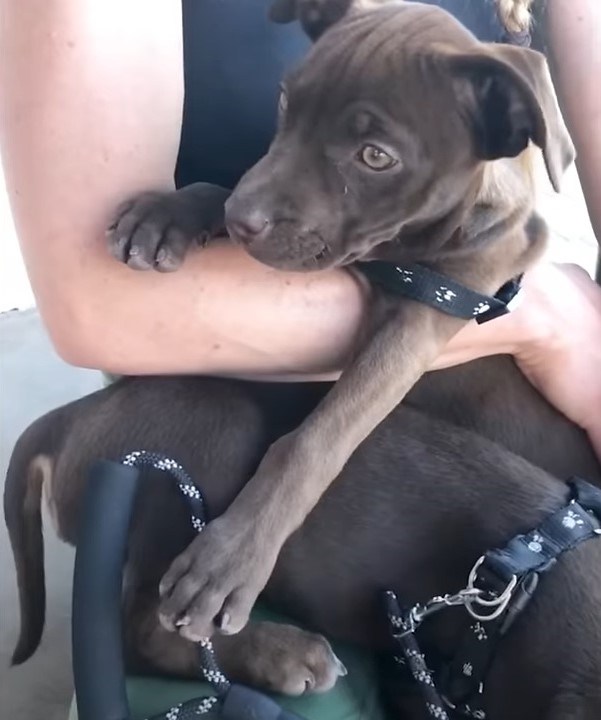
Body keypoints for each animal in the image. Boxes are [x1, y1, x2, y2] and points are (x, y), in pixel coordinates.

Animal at [105, 0, 576, 640]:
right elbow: (220, 188)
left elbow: (317, 439)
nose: (241, 218)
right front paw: (171, 211)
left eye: (376, 156)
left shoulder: (423, 320)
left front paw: (232, 556)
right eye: (286, 102)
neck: (399, 251)